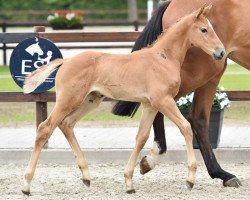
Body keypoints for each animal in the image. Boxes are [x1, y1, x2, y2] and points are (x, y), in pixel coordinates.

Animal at [22, 5, 225, 195]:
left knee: (67, 124)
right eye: (204, 29)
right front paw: (190, 179)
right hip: (68, 100)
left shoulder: (150, 105)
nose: (221, 52)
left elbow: (141, 137)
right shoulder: (164, 101)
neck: (163, 58)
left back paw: (86, 176)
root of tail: (66, 61)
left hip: (90, 100)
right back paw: (27, 184)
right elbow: (186, 127)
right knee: (45, 128)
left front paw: (129, 182)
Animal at [114, 0, 250, 188]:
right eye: (204, 30)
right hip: (202, 71)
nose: (220, 50)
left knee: (198, 119)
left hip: (211, 73)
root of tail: (171, 3)